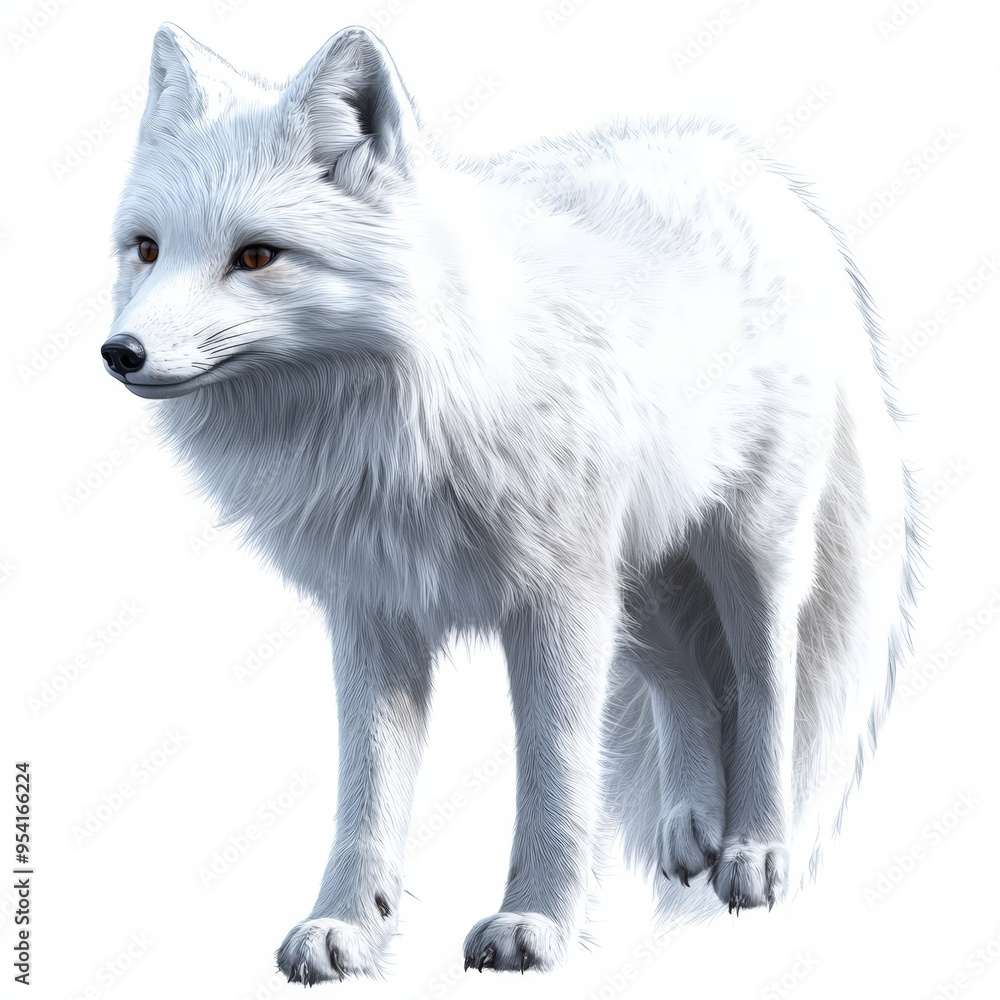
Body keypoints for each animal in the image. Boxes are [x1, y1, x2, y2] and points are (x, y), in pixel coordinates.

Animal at [101, 23, 920, 984]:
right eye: (148, 249)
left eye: (257, 256)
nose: (120, 352)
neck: (410, 415)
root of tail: (753, 171)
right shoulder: (376, 614)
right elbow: (366, 794)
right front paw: (346, 926)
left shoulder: (557, 605)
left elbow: (557, 773)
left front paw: (535, 922)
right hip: (633, 589)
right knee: (688, 687)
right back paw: (693, 828)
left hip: (745, 555)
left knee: (762, 685)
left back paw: (755, 848)